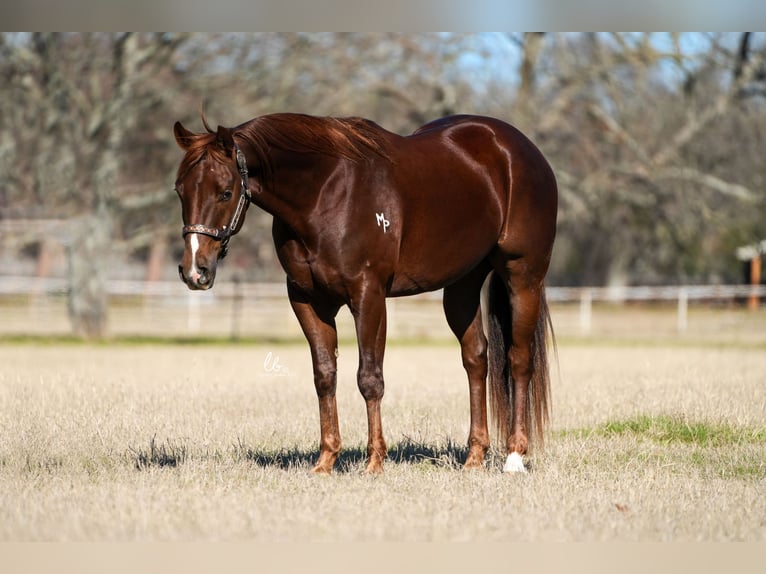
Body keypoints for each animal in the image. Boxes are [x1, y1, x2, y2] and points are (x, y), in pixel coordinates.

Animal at [174, 112, 560, 476]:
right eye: (180, 190)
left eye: (225, 192)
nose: (195, 270)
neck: (324, 192)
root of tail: (521, 149)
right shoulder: (306, 299)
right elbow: (324, 375)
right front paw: (326, 460)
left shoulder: (368, 295)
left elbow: (369, 377)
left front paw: (375, 461)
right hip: (462, 286)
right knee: (476, 358)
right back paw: (475, 456)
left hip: (523, 276)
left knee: (518, 359)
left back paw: (514, 457)